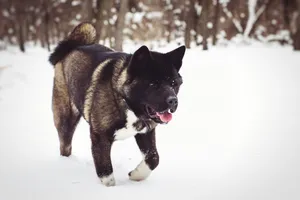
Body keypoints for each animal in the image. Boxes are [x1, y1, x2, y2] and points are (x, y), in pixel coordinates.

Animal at [48, 21, 185, 186]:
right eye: (153, 84)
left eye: (174, 84)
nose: (173, 101)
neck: (124, 101)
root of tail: (73, 46)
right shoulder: (100, 138)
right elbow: (106, 173)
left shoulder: (146, 132)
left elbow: (153, 158)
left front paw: (137, 175)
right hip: (66, 121)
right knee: (65, 146)